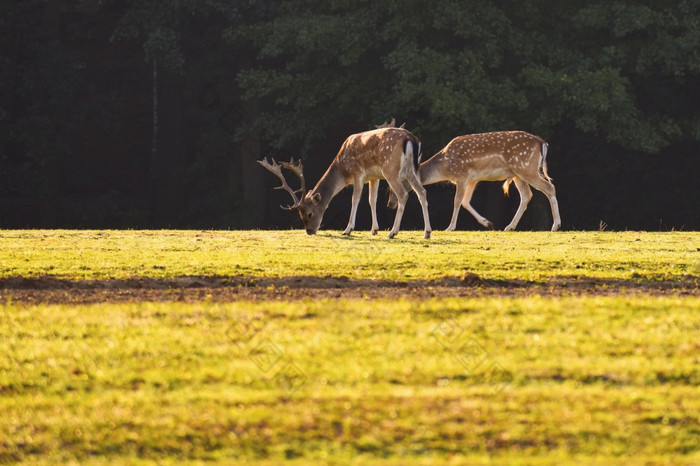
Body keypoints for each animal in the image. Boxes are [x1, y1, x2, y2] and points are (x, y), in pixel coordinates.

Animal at [258, 125, 432, 238]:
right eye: (300, 214)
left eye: (309, 213)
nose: (309, 231)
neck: (342, 169)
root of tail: (412, 140)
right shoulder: (374, 177)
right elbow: (372, 200)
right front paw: (374, 229)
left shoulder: (358, 173)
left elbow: (355, 200)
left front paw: (348, 229)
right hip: (411, 170)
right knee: (422, 192)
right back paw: (427, 232)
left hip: (390, 168)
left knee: (403, 194)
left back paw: (393, 232)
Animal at [392, 130, 560, 232]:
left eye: (392, 186)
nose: (391, 203)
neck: (444, 167)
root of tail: (543, 143)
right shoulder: (472, 179)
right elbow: (466, 201)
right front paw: (488, 223)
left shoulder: (461, 175)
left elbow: (457, 201)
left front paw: (450, 227)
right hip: (519, 173)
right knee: (527, 195)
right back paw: (509, 227)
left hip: (526, 168)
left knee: (549, 187)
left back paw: (555, 225)